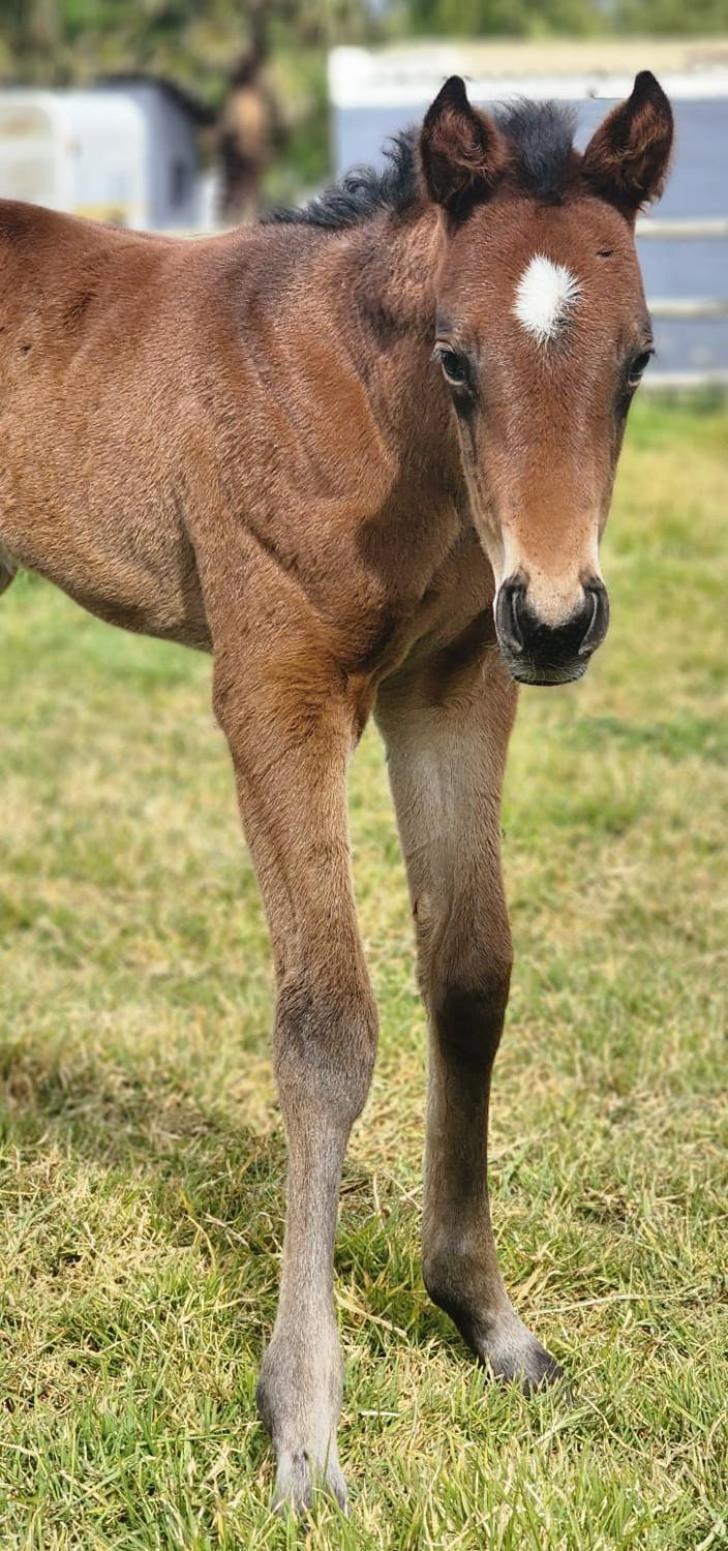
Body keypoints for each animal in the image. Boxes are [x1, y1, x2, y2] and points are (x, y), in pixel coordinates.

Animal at [0, 69, 670, 1501]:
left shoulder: (455, 684)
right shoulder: (278, 684)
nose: (555, 617)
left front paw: (485, 1318)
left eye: (638, 360)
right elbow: (325, 1030)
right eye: (455, 359)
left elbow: (469, 979)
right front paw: (304, 1424)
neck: (369, 416)